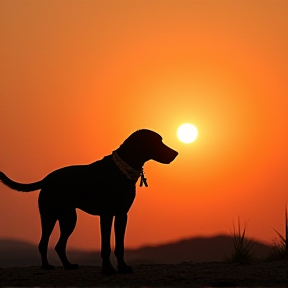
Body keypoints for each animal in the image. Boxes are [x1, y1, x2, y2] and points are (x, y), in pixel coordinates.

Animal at [0, 129, 178, 274]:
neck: (120, 170)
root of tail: (47, 179)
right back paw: (46, 266)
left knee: (59, 245)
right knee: (43, 243)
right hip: (50, 216)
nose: (176, 153)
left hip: (68, 218)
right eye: (157, 142)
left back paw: (68, 265)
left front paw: (122, 267)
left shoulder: (122, 215)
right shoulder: (106, 215)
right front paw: (108, 269)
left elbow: (119, 246)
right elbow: (105, 246)